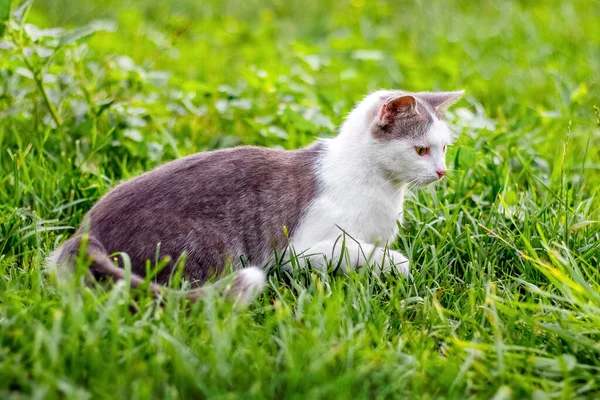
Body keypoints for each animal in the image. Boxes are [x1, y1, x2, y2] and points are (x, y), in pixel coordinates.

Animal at [49, 89, 464, 304]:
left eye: (444, 148)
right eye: (421, 150)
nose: (442, 172)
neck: (382, 187)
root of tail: (86, 233)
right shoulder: (298, 250)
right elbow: (368, 252)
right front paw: (395, 264)